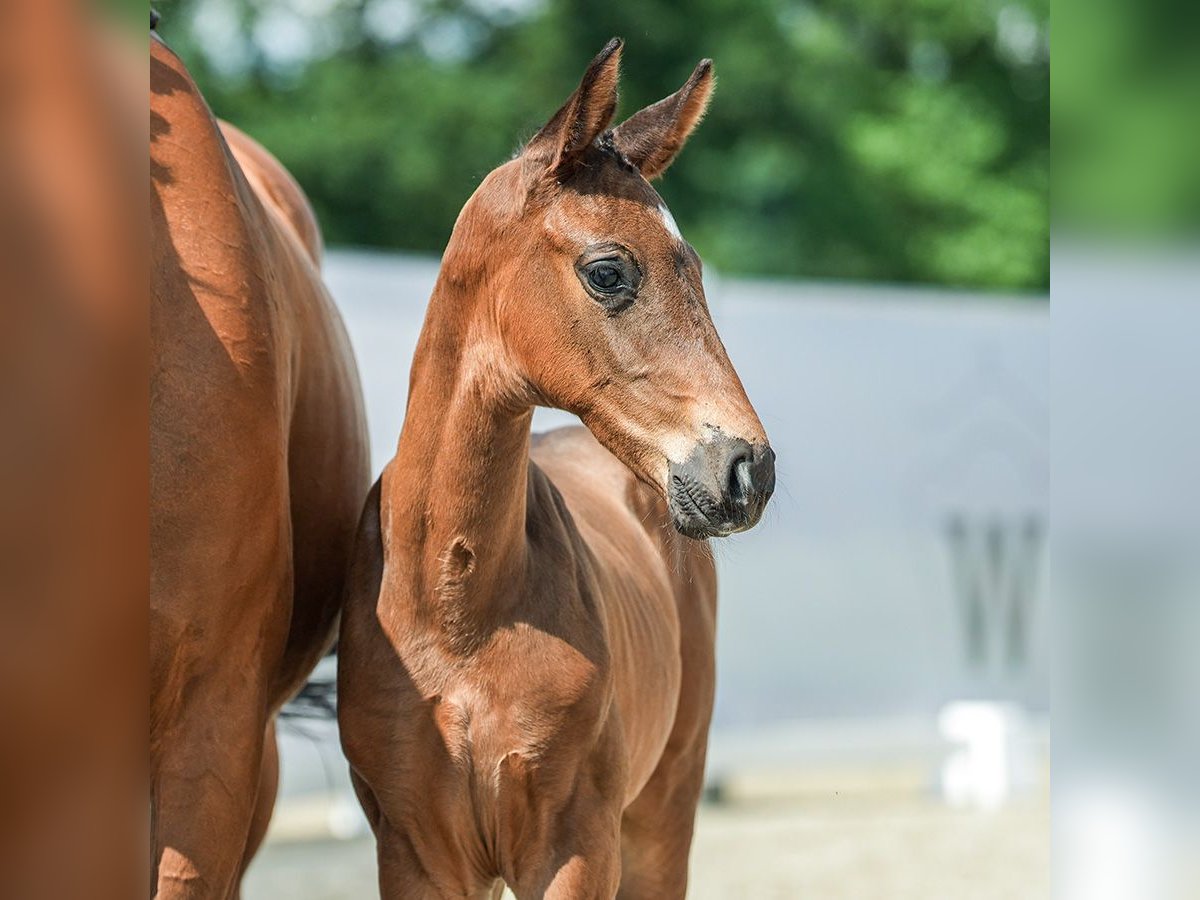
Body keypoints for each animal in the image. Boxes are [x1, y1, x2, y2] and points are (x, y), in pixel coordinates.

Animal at [338, 38, 772, 897]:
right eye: (609, 271)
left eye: (697, 271)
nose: (749, 470)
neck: (458, 611)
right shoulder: (415, 851)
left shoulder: (575, 845)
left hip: (663, 813)